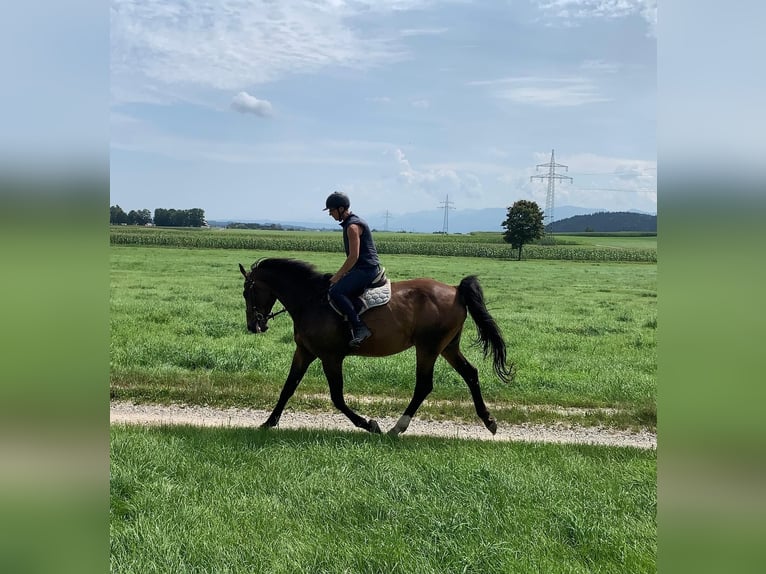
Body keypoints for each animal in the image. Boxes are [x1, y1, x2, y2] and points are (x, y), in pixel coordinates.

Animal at [238, 260, 516, 436]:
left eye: (247, 292)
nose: (254, 325)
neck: (311, 301)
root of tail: (456, 290)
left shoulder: (331, 357)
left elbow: (337, 397)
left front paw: (369, 424)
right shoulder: (304, 353)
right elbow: (288, 388)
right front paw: (268, 422)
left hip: (428, 348)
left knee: (424, 385)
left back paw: (396, 428)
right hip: (447, 347)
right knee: (470, 373)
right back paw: (489, 421)